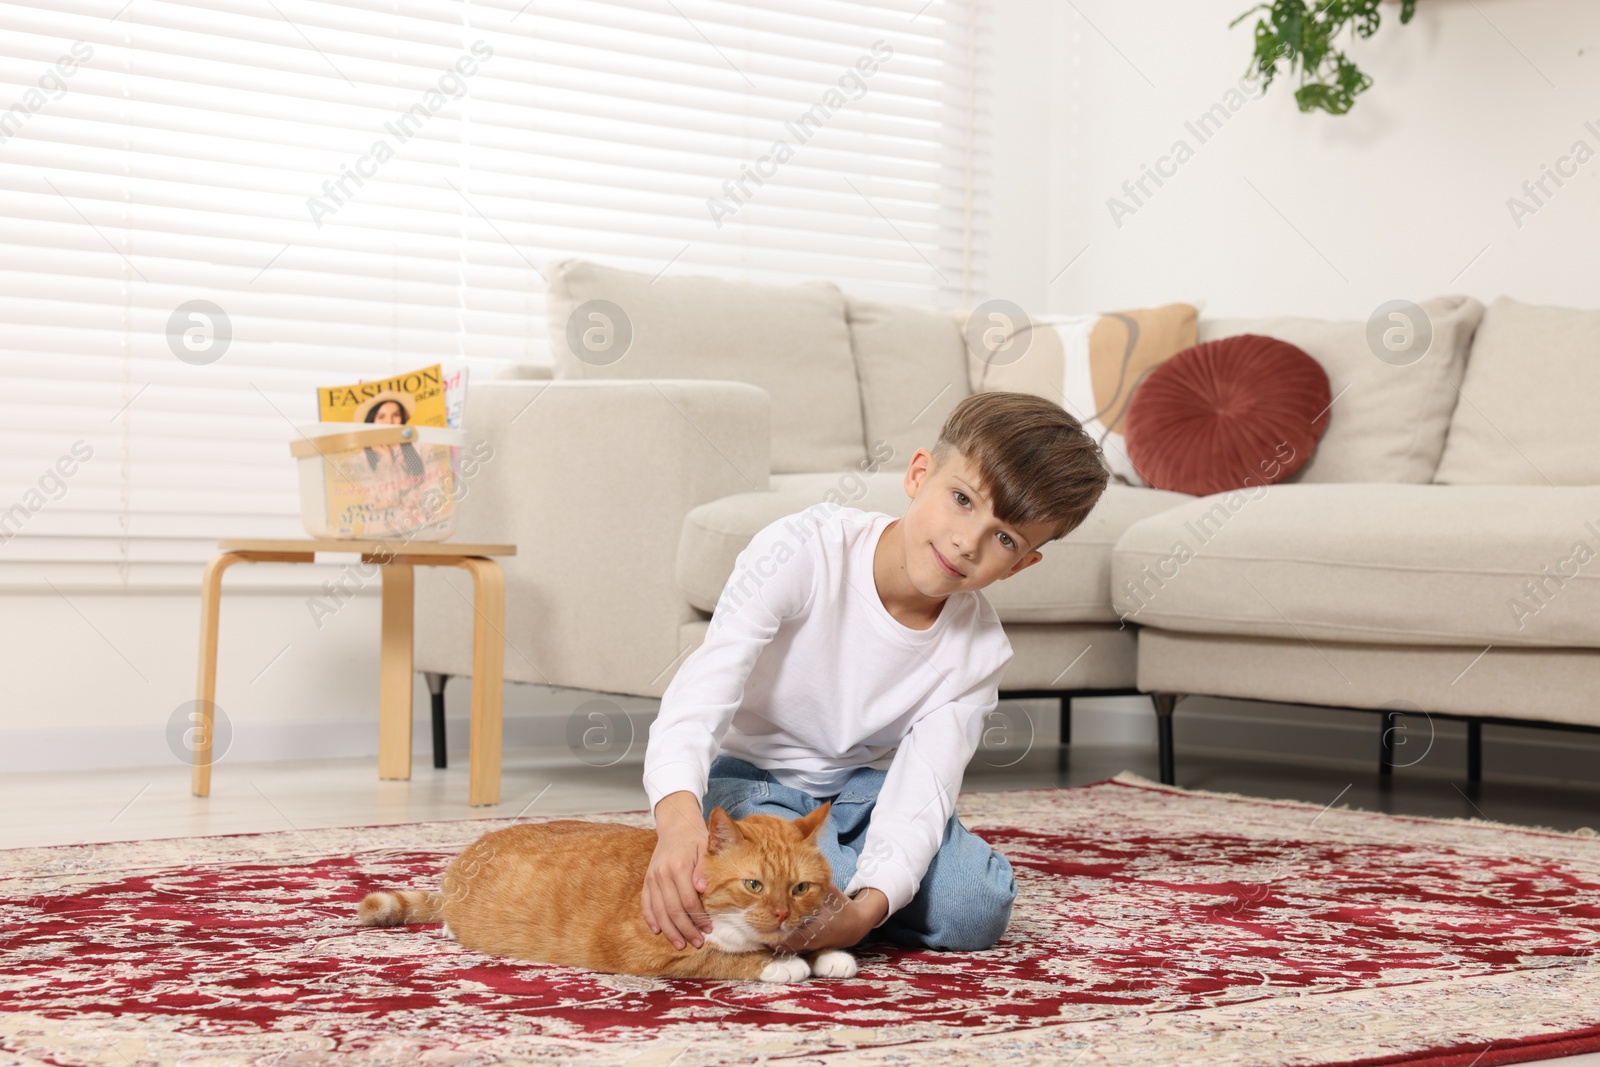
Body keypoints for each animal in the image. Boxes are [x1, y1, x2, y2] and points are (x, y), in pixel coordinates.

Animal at [360, 799, 864, 985]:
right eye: (753, 885)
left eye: (799, 888)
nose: (780, 915)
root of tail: (474, 847)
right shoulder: (652, 953)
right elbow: (724, 958)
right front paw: (782, 964)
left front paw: (827, 953)